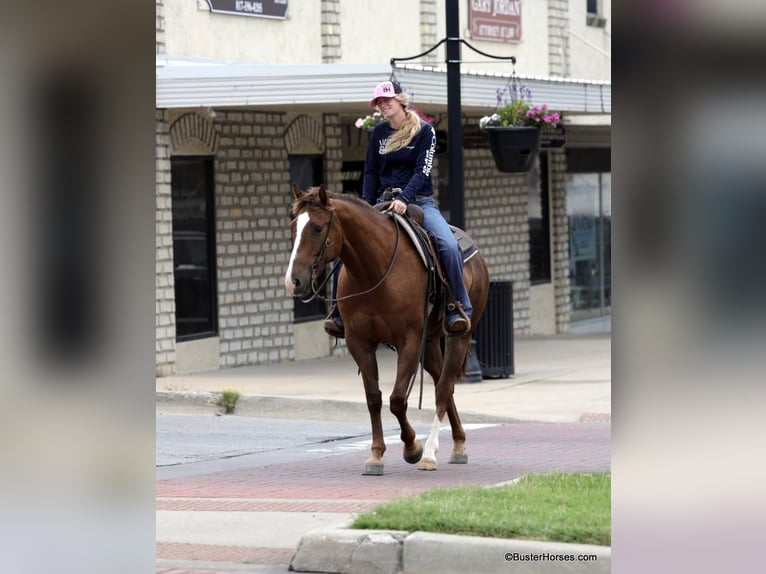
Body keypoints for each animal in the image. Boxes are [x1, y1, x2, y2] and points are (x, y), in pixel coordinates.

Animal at [284, 184, 489, 474]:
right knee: (443, 385)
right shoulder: (359, 342)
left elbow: (397, 399)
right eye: (293, 227)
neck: (374, 270)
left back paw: (430, 453)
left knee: (443, 388)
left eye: (316, 228)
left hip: (459, 336)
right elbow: (374, 398)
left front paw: (412, 448)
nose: (293, 281)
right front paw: (376, 455)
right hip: (430, 344)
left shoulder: (409, 341)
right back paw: (458, 443)